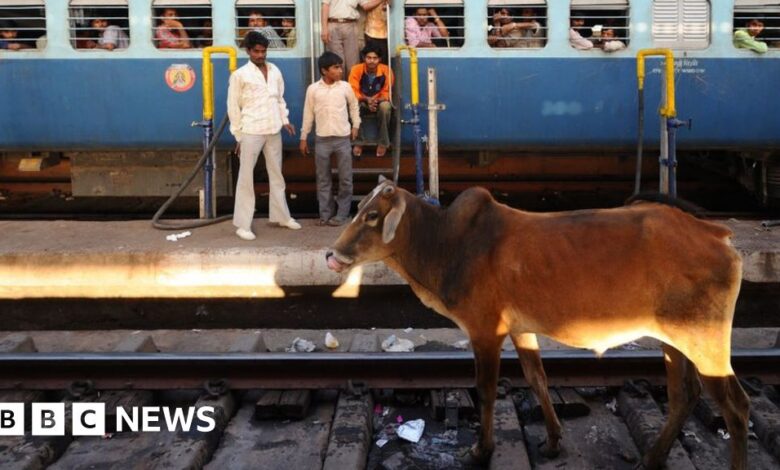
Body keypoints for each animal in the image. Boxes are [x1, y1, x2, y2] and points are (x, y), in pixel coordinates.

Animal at [324, 178, 748, 468]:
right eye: (359, 208)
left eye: (373, 215)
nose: (331, 254)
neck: (445, 244)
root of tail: (715, 232)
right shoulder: (520, 328)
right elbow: (537, 377)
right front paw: (553, 441)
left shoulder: (485, 330)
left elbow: (486, 390)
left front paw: (481, 450)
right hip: (674, 339)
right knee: (683, 395)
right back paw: (653, 457)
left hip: (705, 339)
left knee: (736, 407)